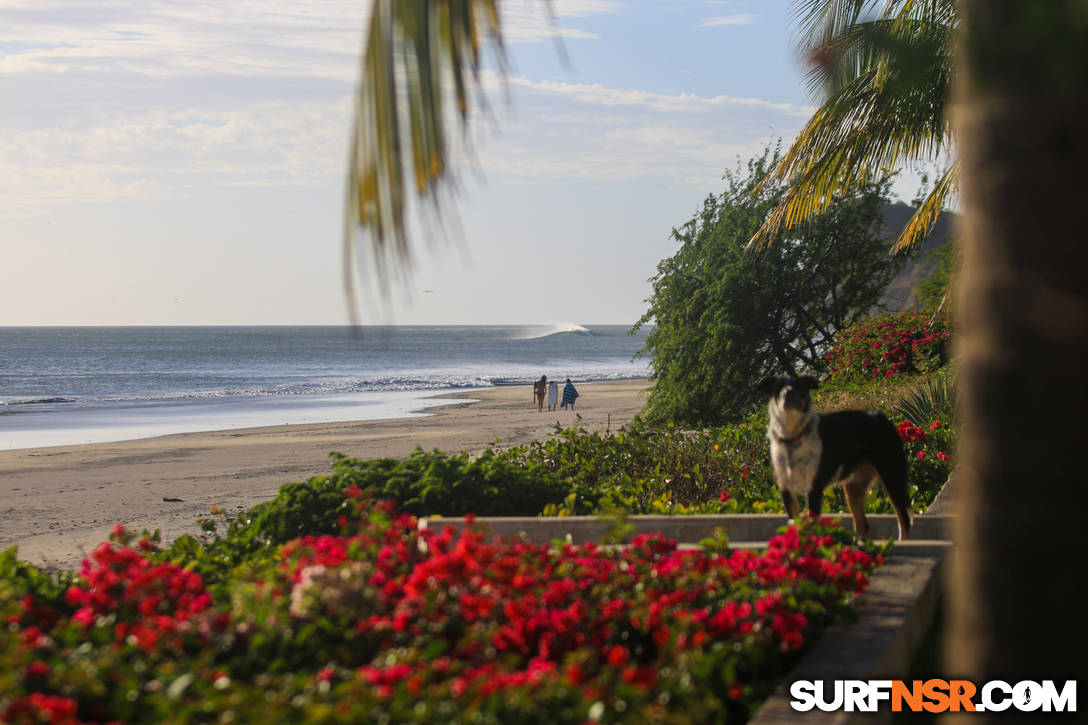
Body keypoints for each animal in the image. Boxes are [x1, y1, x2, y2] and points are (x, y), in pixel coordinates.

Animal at [761, 372, 913, 535]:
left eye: (800, 385)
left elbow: (812, 524)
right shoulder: (786, 489)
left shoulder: (813, 488)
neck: (792, 437)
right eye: (778, 387)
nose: (788, 393)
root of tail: (880, 417)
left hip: (891, 475)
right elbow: (795, 524)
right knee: (862, 524)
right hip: (854, 486)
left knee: (904, 519)